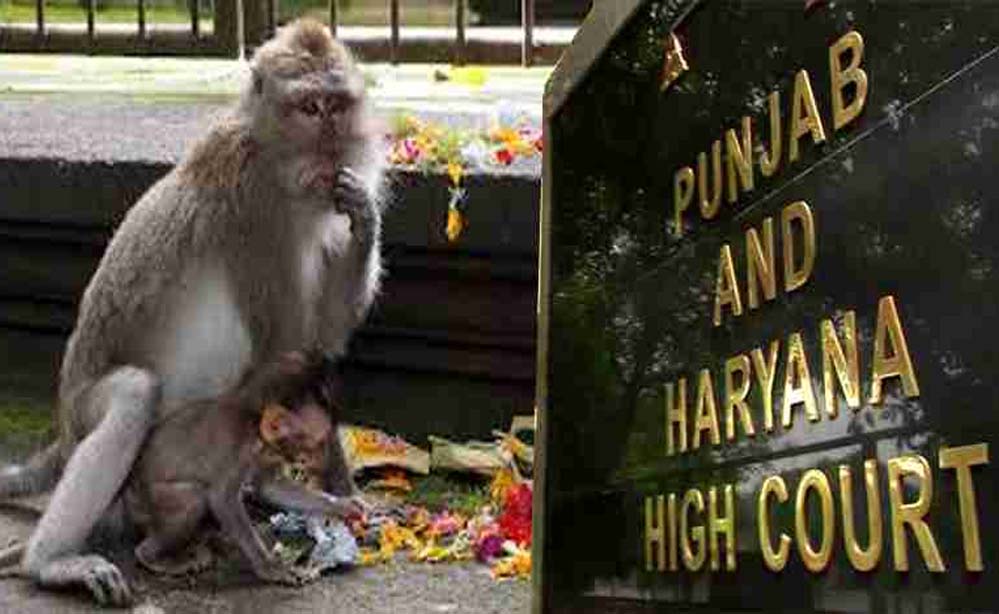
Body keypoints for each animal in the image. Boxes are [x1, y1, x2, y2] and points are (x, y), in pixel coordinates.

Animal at [0, 18, 383, 606]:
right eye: (310, 107)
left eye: (337, 105)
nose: (330, 148)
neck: (271, 153)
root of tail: (63, 432)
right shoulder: (260, 216)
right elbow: (291, 347)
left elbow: (321, 342)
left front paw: (365, 214)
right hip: (90, 419)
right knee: (134, 396)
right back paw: (52, 562)